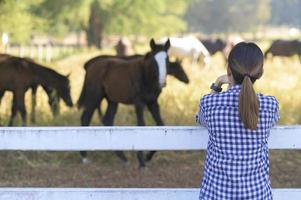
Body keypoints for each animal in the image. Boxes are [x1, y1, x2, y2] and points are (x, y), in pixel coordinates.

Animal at [77, 38, 171, 167]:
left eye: (167, 59)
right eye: (154, 61)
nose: (162, 82)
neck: (145, 76)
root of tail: (89, 66)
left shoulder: (153, 103)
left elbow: (161, 125)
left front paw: (148, 157)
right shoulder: (139, 103)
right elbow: (141, 125)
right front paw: (142, 161)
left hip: (112, 100)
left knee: (107, 120)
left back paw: (123, 157)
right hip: (94, 98)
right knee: (86, 118)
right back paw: (84, 157)